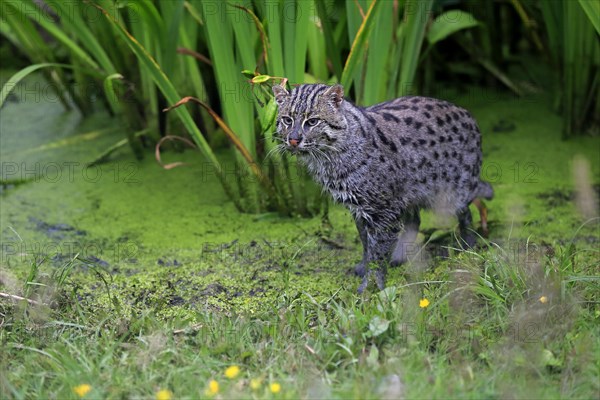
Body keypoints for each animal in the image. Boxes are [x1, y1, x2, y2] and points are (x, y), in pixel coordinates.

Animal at [272, 83, 492, 292]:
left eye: (312, 121)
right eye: (287, 120)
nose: (293, 139)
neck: (330, 156)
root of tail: (468, 116)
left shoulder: (384, 211)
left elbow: (377, 251)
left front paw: (371, 286)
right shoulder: (360, 209)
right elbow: (366, 244)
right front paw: (365, 268)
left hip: (452, 192)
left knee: (466, 214)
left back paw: (467, 247)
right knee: (414, 220)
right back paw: (400, 256)